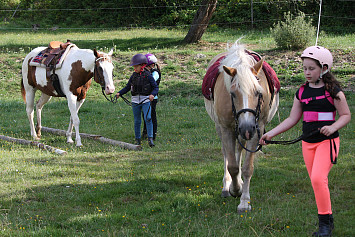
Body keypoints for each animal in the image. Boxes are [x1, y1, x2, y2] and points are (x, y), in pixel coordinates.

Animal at [204, 41, 280, 212]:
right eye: (232, 94)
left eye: (258, 92)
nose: (247, 127)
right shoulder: (226, 129)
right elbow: (232, 165)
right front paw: (234, 189)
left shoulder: (256, 130)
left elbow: (246, 168)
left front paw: (244, 200)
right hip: (224, 128)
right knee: (227, 154)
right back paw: (227, 187)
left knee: (238, 151)